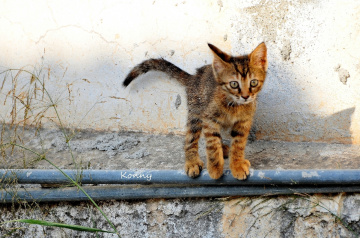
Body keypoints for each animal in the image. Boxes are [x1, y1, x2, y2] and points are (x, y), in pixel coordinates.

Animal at [124, 42, 268, 179]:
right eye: (234, 84)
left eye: (253, 82)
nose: (245, 96)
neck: (234, 104)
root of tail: (194, 78)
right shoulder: (209, 118)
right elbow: (212, 144)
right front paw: (215, 169)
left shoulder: (244, 122)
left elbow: (238, 144)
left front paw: (237, 165)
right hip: (196, 113)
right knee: (190, 139)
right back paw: (192, 162)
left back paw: (224, 149)